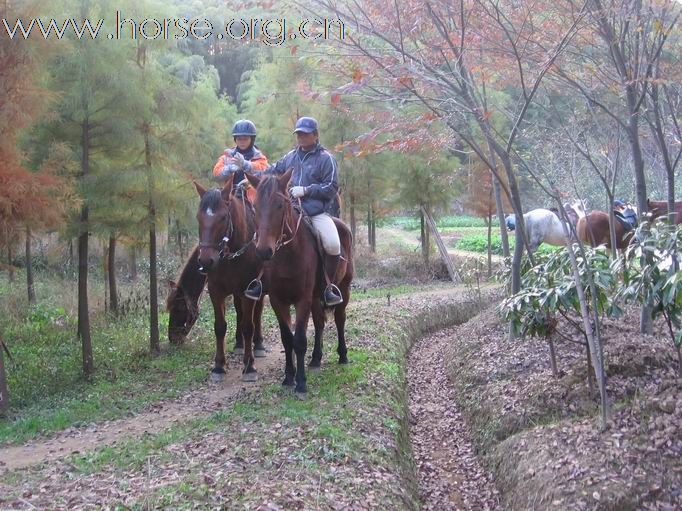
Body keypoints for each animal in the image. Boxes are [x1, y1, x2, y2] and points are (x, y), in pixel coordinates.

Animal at [194, 174, 266, 382]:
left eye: (223, 217)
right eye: (198, 217)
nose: (206, 260)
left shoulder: (248, 289)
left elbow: (249, 325)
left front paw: (249, 366)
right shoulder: (216, 291)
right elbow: (220, 326)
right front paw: (218, 366)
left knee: (256, 313)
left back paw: (258, 344)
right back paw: (239, 343)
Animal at [244, 169, 354, 396]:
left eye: (280, 205)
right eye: (255, 206)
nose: (264, 251)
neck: (288, 254)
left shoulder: (302, 299)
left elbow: (300, 340)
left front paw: (301, 383)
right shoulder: (278, 300)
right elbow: (287, 338)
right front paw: (288, 377)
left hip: (344, 288)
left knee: (340, 319)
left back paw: (343, 355)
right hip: (316, 295)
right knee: (320, 322)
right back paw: (315, 360)